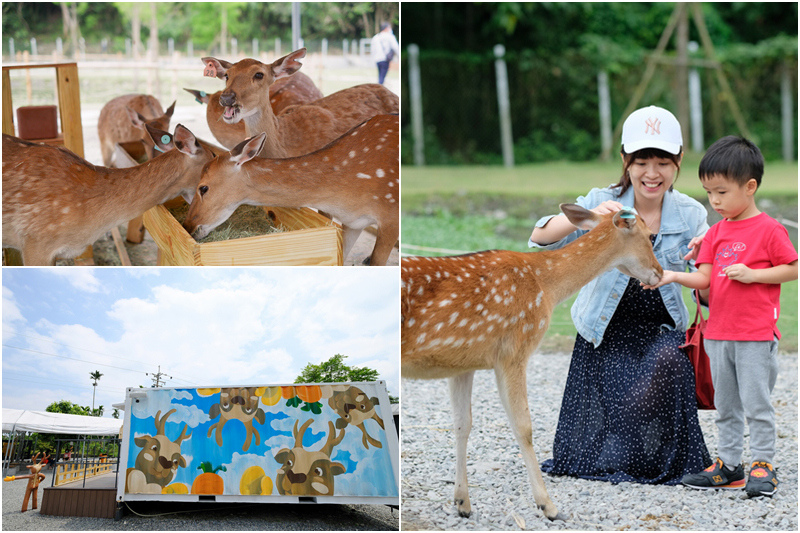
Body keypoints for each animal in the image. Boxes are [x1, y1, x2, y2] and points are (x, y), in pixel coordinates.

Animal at [400, 204, 664, 520]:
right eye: (649, 236)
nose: (659, 273)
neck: (546, 286)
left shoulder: (462, 362)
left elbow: (462, 424)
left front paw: (463, 502)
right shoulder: (514, 350)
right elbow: (523, 426)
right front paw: (548, 505)